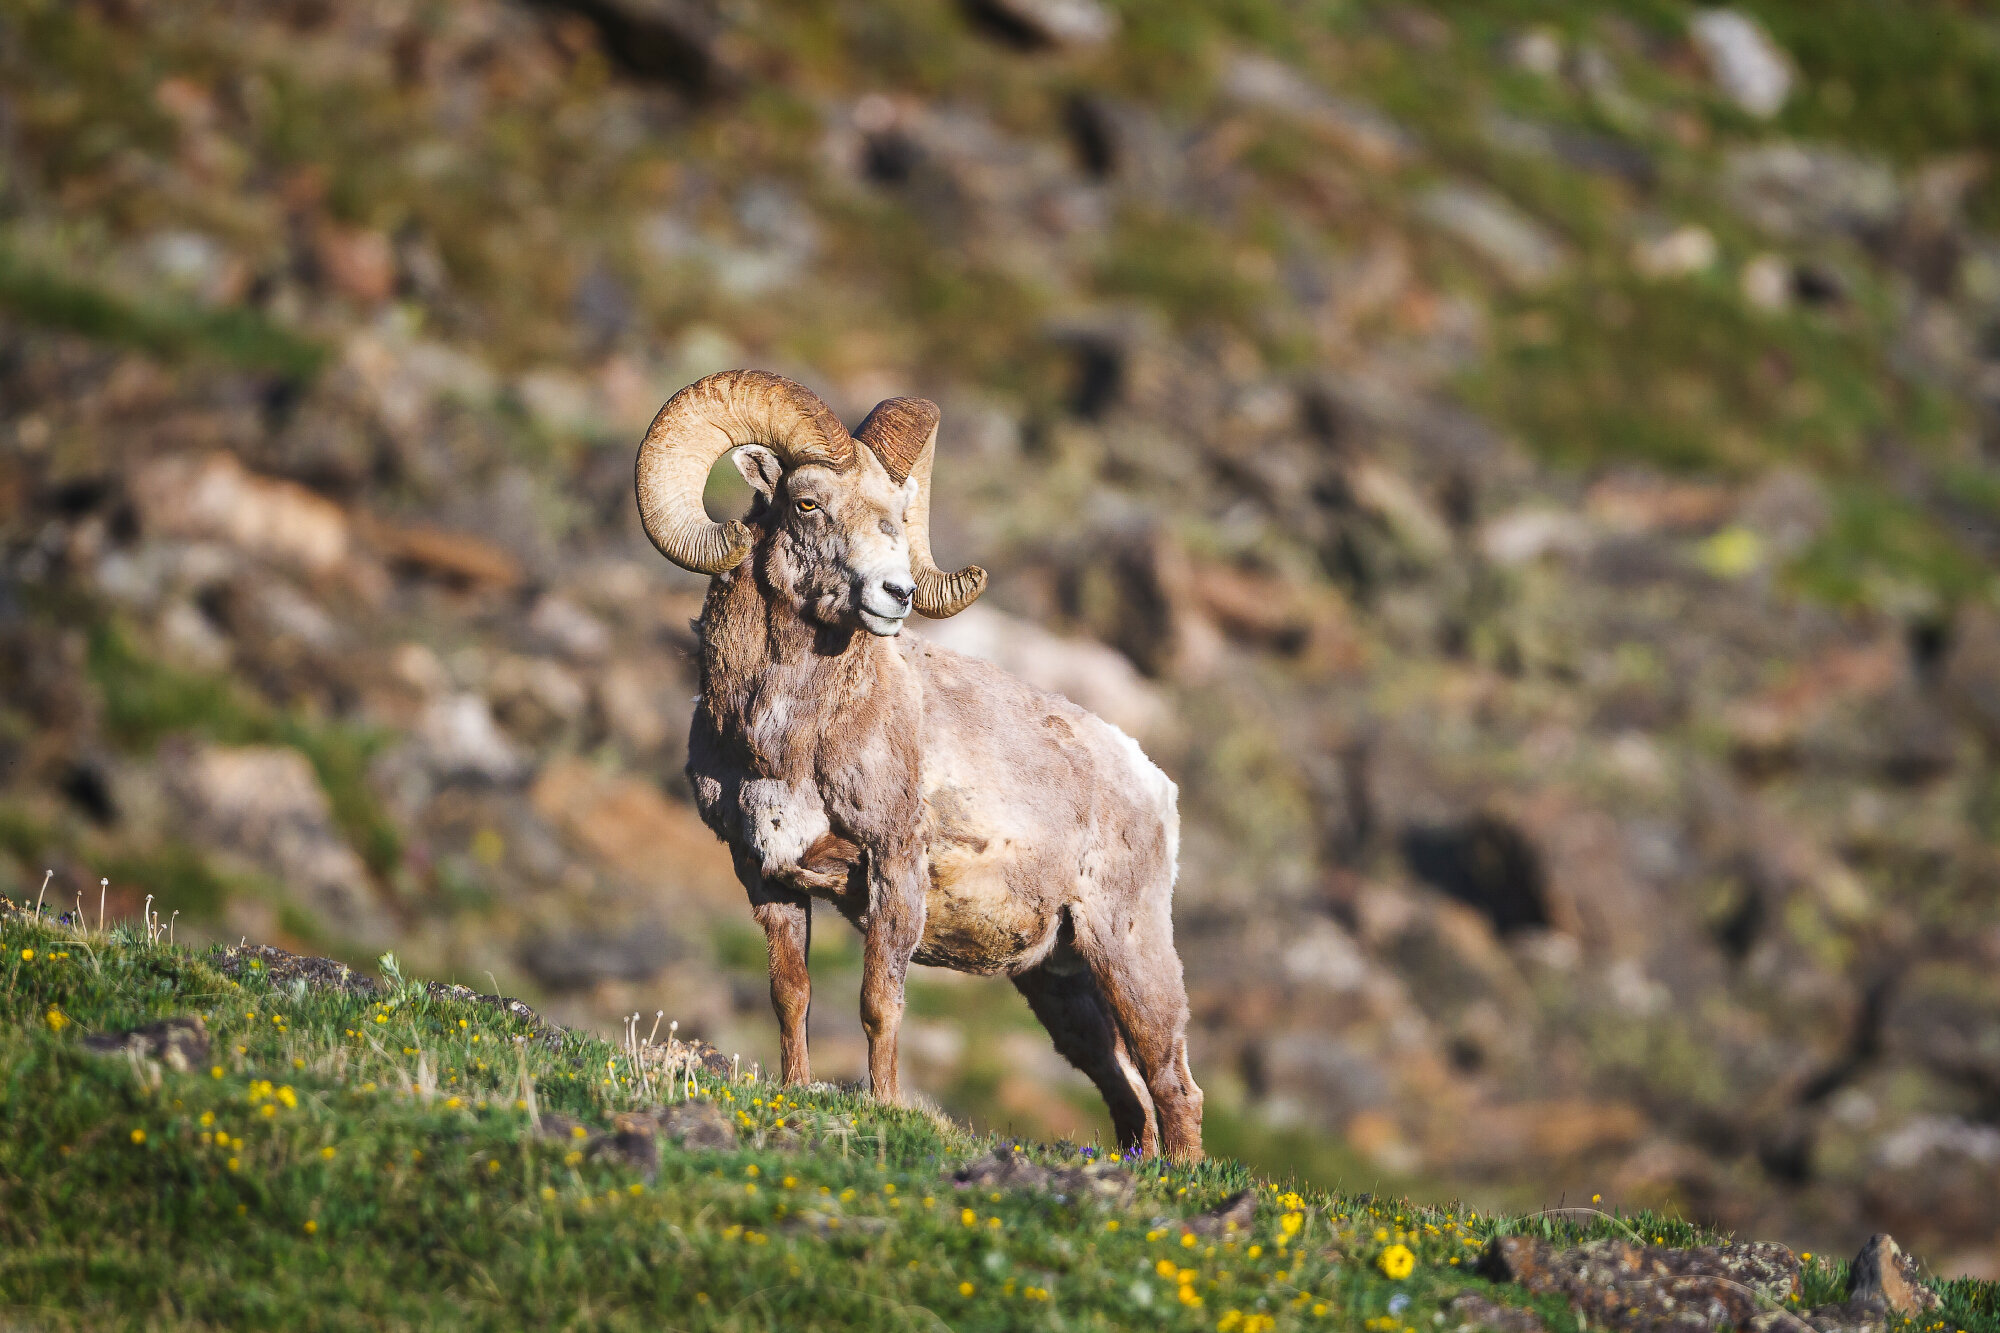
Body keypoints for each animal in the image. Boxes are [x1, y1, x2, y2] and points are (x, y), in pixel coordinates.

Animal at [635, 369, 1203, 1160]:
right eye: (807, 503)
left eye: (897, 515)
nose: (896, 594)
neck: (785, 739)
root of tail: (1152, 782)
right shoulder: (764, 873)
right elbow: (791, 992)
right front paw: (796, 1087)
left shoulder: (894, 867)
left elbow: (880, 1003)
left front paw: (884, 1104)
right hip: (1063, 987)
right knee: (1130, 1097)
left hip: (1127, 949)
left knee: (1172, 1081)